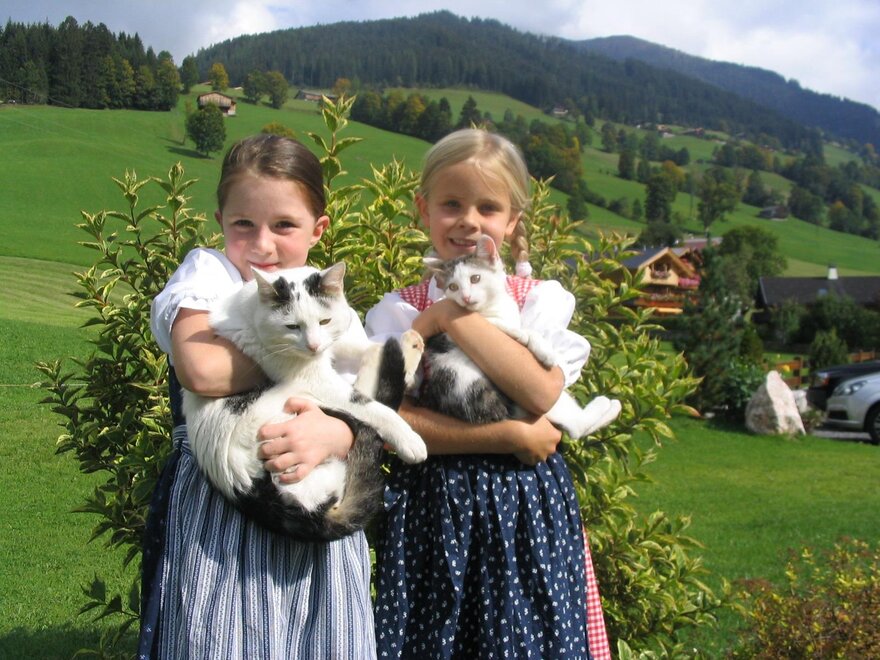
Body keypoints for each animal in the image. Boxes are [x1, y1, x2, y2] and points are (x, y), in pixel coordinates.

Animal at [182, 262, 427, 542]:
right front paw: (409, 440)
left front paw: (407, 359)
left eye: (324, 321)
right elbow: (369, 405)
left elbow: (368, 347)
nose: (313, 345)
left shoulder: (332, 344)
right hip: (291, 400)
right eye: (292, 327)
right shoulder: (316, 381)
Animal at [419, 235, 621, 438]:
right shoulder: (457, 329)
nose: (466, 298)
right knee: (576, 428)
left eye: (475, 278)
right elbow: (502, 325)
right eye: (453, 287)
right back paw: (608, 404)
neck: (491, 306)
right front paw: (527, 338)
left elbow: (527, 328)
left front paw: (542, 347)